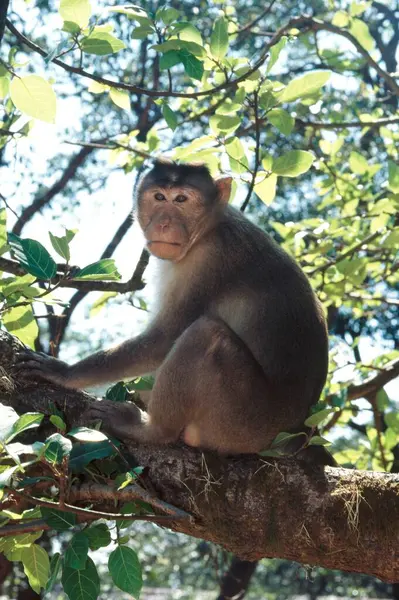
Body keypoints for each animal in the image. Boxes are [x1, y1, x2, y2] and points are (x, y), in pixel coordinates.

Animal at [15, 159, 330, 454]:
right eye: (159, 197)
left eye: (181, 199)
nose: (164, 224)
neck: (208, 229)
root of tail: (297, 434)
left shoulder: (209, 261)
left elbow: (163, 339)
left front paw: (64, 372)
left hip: (242, 423)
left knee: (204, 334)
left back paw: (151, 430)